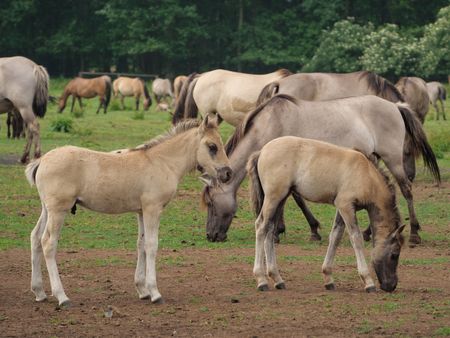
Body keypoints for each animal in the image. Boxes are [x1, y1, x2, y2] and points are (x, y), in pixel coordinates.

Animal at [25, 115, 232, 306]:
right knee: (48, 243)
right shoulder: (152, 209)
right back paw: (62, 297)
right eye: (212, 146)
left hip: (47, 209)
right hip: (58, 210)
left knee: (35, 238)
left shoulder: (141, 211)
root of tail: (42, 161)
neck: (162, 162)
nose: (228, 173)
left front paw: (143, 290)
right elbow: (152, 245)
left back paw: (39, 292)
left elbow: (141, 245)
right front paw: (155, 293)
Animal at [203, 93, 440, 244]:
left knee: (406, 190)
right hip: (375, 158)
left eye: (211, 203)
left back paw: (414, 233)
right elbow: (294, 198)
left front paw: (287, 231)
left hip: (393, 159)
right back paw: (368, 233)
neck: (270, 123)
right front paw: (287, 229)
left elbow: (293, 199)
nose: (211, 236)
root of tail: (396, 106)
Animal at [248, 137, 406, 294]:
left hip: (281, 198)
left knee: (270, 229)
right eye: (394, 254)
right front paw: (368, 281)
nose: (391, 286)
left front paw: (328, 278)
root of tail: (261, 151)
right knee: (261, 226)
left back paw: (277, 278)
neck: (366, 174)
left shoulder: (342, 208)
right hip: (273, 197)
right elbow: (356, 238)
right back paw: (261, 280)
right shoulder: (346, 206)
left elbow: (335, 236)